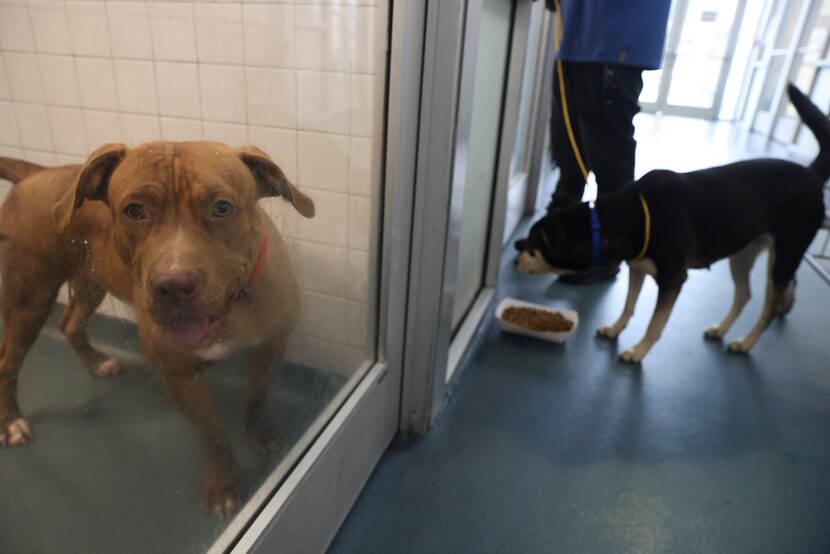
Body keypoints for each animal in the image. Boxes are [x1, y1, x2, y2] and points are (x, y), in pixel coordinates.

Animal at [0, 141, 316, 512]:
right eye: (134, 211)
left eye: (222, 207)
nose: (173, 285)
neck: (229, 309)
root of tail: (36, 173)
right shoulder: (179, 376)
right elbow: (212, 435)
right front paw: (225, 486)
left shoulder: (271, 346)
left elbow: (257, 397)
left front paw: (261, 434)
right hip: (29, 303)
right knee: (9, 362)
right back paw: (11, 423)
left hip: (90, 285)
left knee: (70, 323)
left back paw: (97, 363)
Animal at [516, 84, 828, 362]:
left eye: (533, 244)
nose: (517, 255)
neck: (631, 216)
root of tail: (812, 175)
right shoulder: (638, 266)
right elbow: (628, 306)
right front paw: (616, 329)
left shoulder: (673, 279)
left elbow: (655, 325)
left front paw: (638, 352)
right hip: (743, 253)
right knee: (744, 295)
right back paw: (721, 329)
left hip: (785, 256)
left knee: (770, 307)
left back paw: (746, 342)